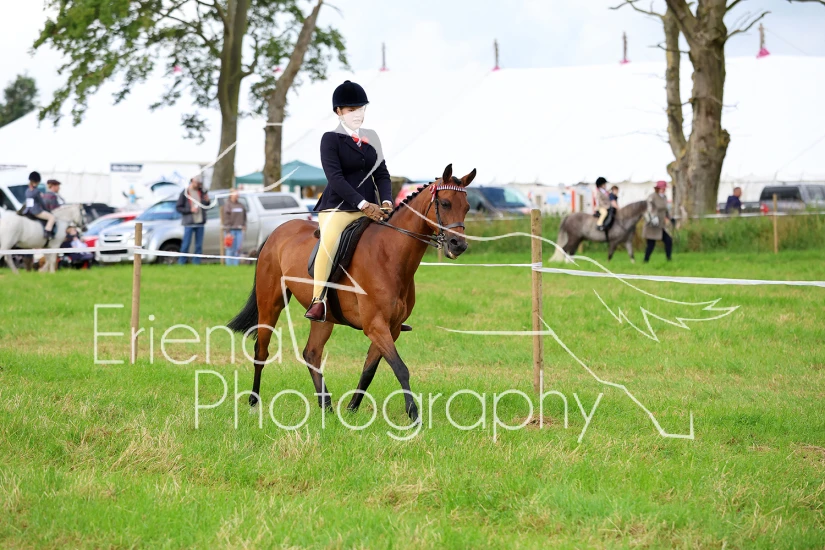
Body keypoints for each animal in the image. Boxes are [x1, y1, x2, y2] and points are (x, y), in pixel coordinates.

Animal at [227, 164, 475, 423]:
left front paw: (351, 409)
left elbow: (369, 369)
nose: (459, 245)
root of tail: (277, 232)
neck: (389, 255)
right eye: (445, 203)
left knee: (311, 353)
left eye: (467, 207)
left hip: (323, 317)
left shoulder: (392, 328)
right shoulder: (375, 325)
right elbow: (400, 368)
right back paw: (253, 403)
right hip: (271, 303)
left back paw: (326, 406)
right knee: (261, 351)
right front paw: (414, 415)